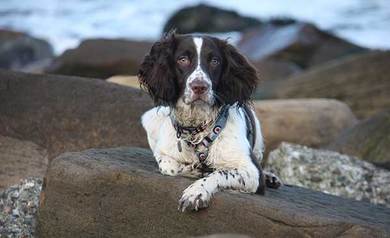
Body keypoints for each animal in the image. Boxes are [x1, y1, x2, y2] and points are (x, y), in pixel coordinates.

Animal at [139, 31, 278, 212]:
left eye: (214, 61)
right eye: (182, 59)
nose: (199, 87)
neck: (196, 129)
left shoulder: (252, 172)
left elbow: (219, 172)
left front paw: (196, 192)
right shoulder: (163, 152)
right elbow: (170, 167)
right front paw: (193, 170)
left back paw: (270, 176)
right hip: (150, 118)